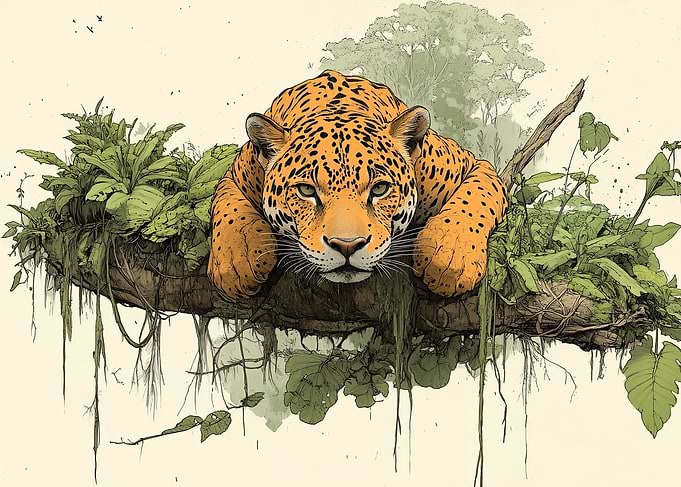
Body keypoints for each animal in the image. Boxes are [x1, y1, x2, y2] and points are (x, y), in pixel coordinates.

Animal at [208, 70, 508, 300]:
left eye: (379, 189)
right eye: (306, 191)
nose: (347, 246)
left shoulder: (476, 165)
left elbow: (472, 200)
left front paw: (451, 259)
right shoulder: (233, 175)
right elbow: (230, 208)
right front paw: (238, 264)